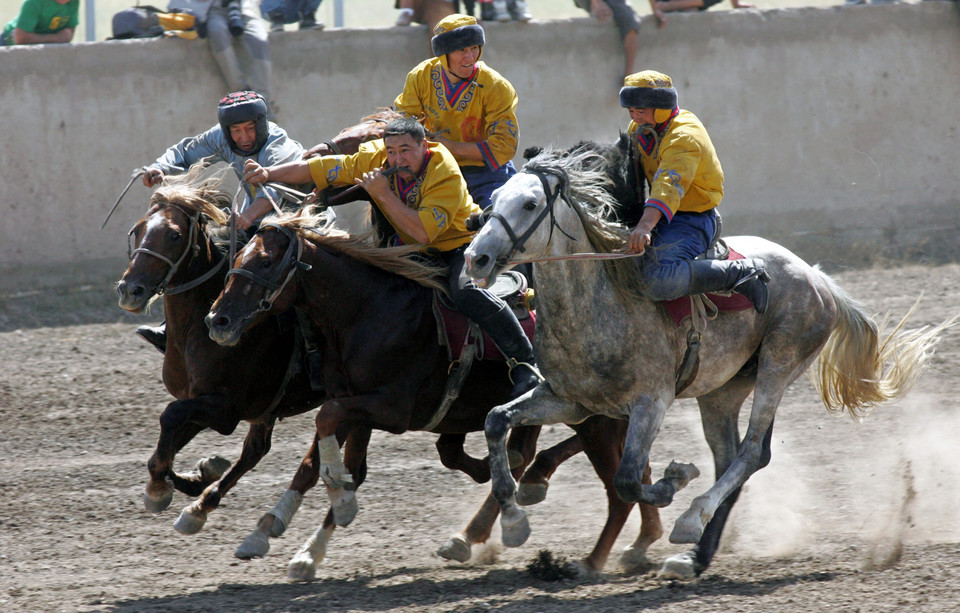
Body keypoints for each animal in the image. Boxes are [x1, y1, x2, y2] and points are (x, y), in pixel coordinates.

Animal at [462, 146, 948, 576]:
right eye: (492, 200)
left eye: (529, 203)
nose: (475, 257)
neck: (601, 303)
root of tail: (817, 278)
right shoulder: (569, 401)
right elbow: (496, 421)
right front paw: (514, 521)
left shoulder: (650, 403)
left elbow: (628, 478)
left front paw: (675, 478)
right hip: (722, 391)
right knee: (730, 456)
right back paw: (695, 557)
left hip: (779, 364)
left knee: (750, 453)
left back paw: (691, 520)